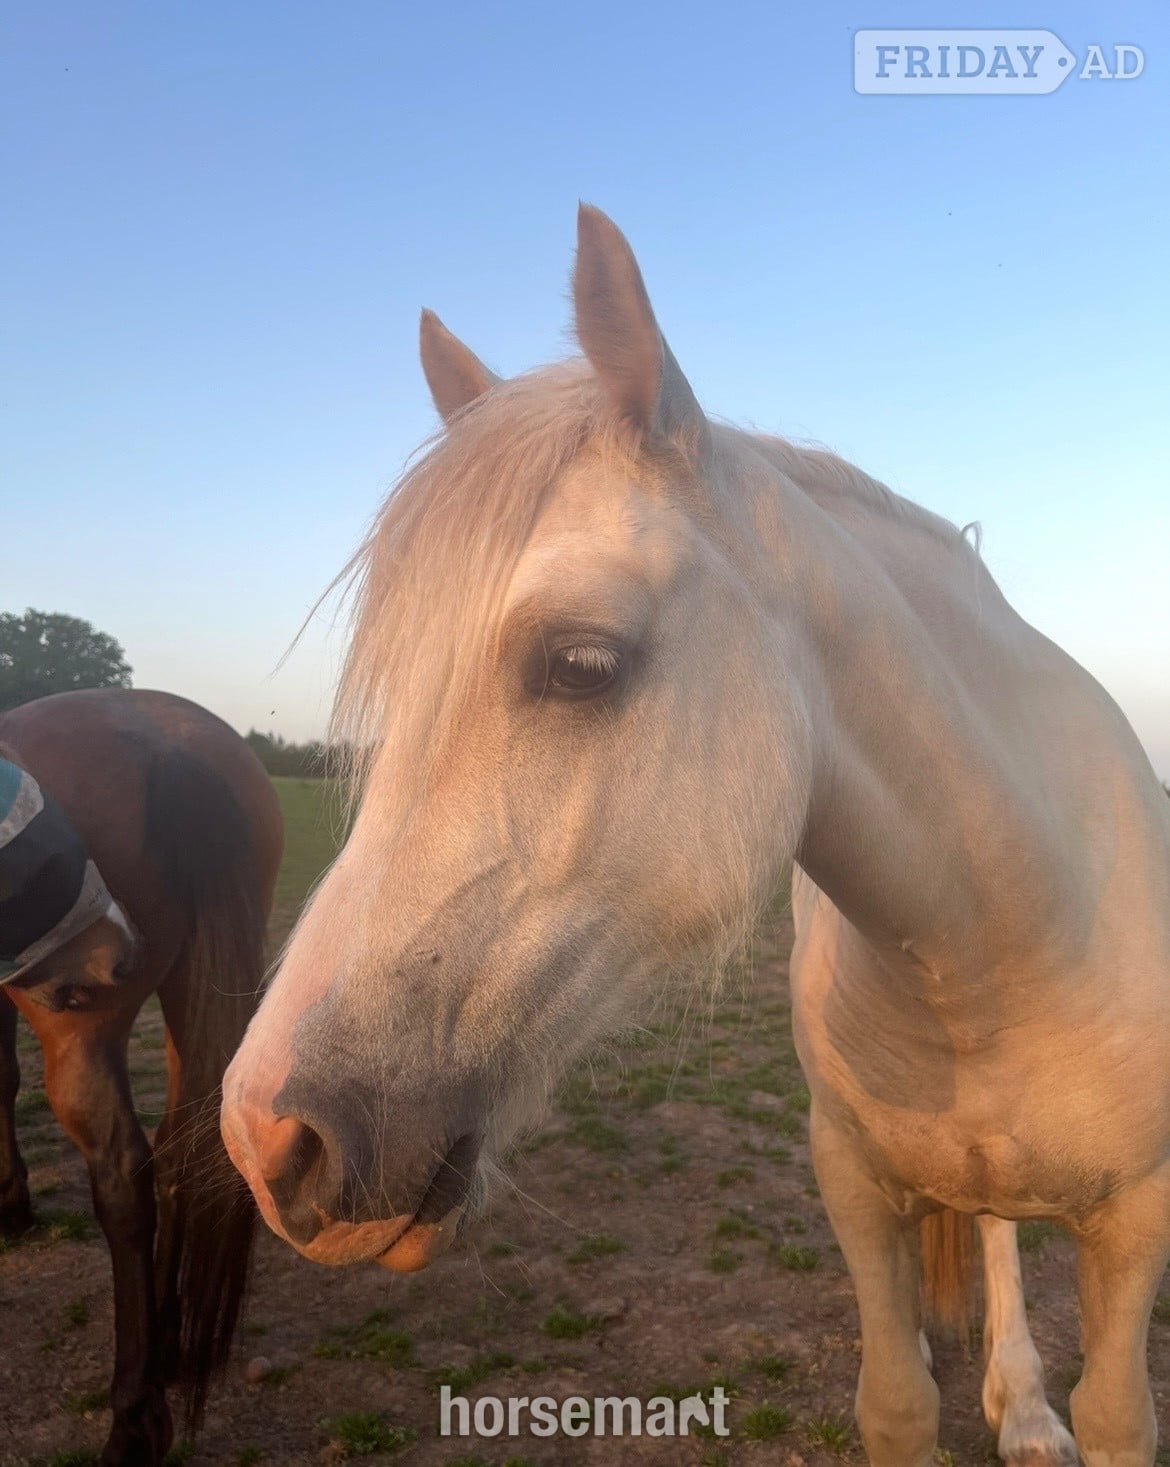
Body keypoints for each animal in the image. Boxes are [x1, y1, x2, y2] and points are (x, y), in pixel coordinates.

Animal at [1, 687, 283, 1465]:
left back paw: (135, 1415)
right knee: (186, 1150)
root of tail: (166, 742)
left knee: (125, 1174)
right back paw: (171, 1341)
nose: (115, 950)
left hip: (83, 1031)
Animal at [220, 206, 1170, 1466]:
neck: (1007, 936)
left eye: (581, 662)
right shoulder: (853, 1191)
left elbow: (1117, 1412)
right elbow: (897, 1397)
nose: (264, 1139)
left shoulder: (1140, 1221)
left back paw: (1025, 1410)